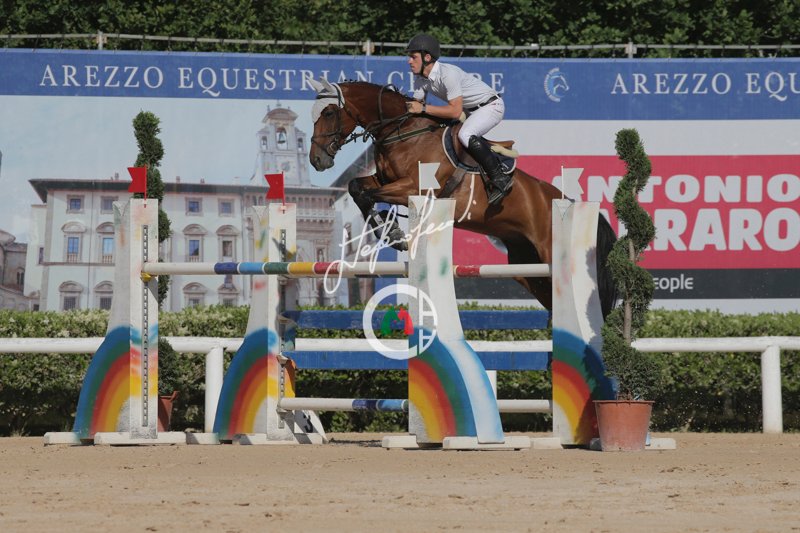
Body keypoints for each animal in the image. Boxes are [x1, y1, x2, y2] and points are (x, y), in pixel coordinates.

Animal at [307, 79, 617, 319]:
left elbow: (366, 193)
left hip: (550, 256)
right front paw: (390, 231)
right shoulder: (385, 181)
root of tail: (569, 202)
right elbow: (356, 188)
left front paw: (392, 232)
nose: (317, 160)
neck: (402, 132)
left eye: (330, 113)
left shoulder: (414, 188)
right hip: (528, 266)